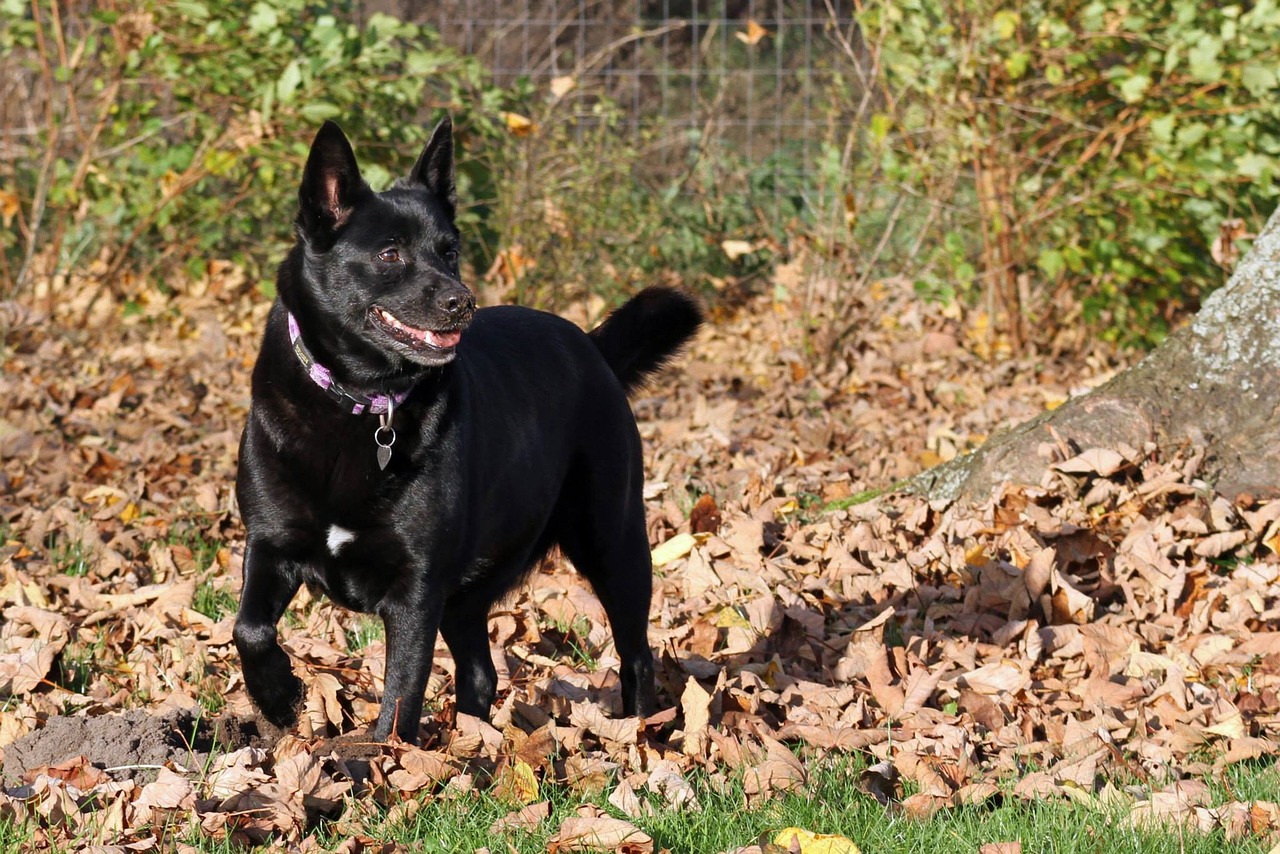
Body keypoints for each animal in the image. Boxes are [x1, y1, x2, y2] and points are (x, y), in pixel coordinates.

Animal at [235, 118, 706, 742]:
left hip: (613, 540)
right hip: (472, 592)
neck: (363, 402)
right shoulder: (269, 545)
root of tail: (593, 348)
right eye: (390, 252)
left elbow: (400, 697)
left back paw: (637, 729)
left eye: (449, 251)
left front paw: (372, 760)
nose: (464, 303)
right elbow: (248, 629)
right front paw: (281, 698)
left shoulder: (416, 590)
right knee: (481, 674)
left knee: (637, 654)